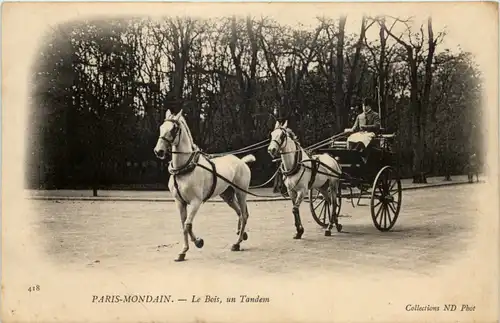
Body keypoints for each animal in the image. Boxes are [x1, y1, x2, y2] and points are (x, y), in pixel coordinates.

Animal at [152, 110, 256, 262]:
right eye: (161, 127)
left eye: (173, 129)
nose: (158, 151)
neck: (184, 168)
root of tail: (241, 161)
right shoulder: (179, 202)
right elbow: (183, 225)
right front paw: (183, 252)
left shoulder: (196, 202)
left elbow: (187, 225)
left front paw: (198, 242)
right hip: (228, 195)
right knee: (239, 213)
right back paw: (241, 235)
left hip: (241, 193)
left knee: (244, 215)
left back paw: (237, 243)